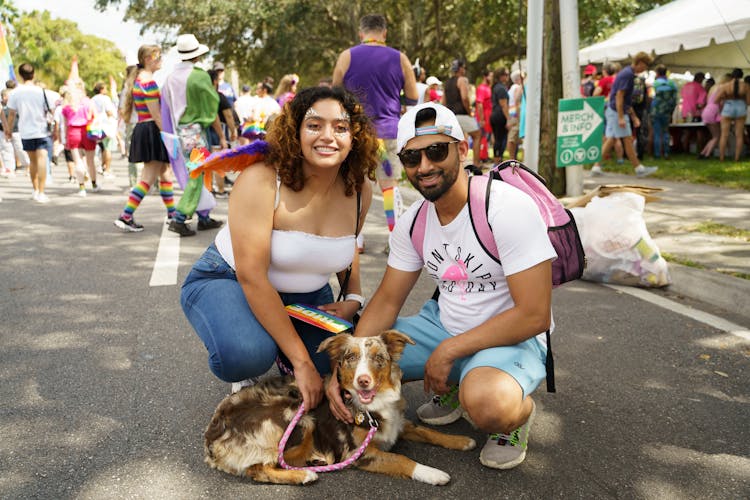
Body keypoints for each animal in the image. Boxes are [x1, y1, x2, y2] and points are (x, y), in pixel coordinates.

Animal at [206, 332, 476, 484]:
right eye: (350, 358)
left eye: (379, 358)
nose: (363, 381)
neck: (371, 406)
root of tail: (211, 436)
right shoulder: (360, 453)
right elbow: (402, 459)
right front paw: (433, 473)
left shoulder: (398, 423)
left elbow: (427, 431)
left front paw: (462, 441)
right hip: (299, 420)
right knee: (259, 469)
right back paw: (304, 475)